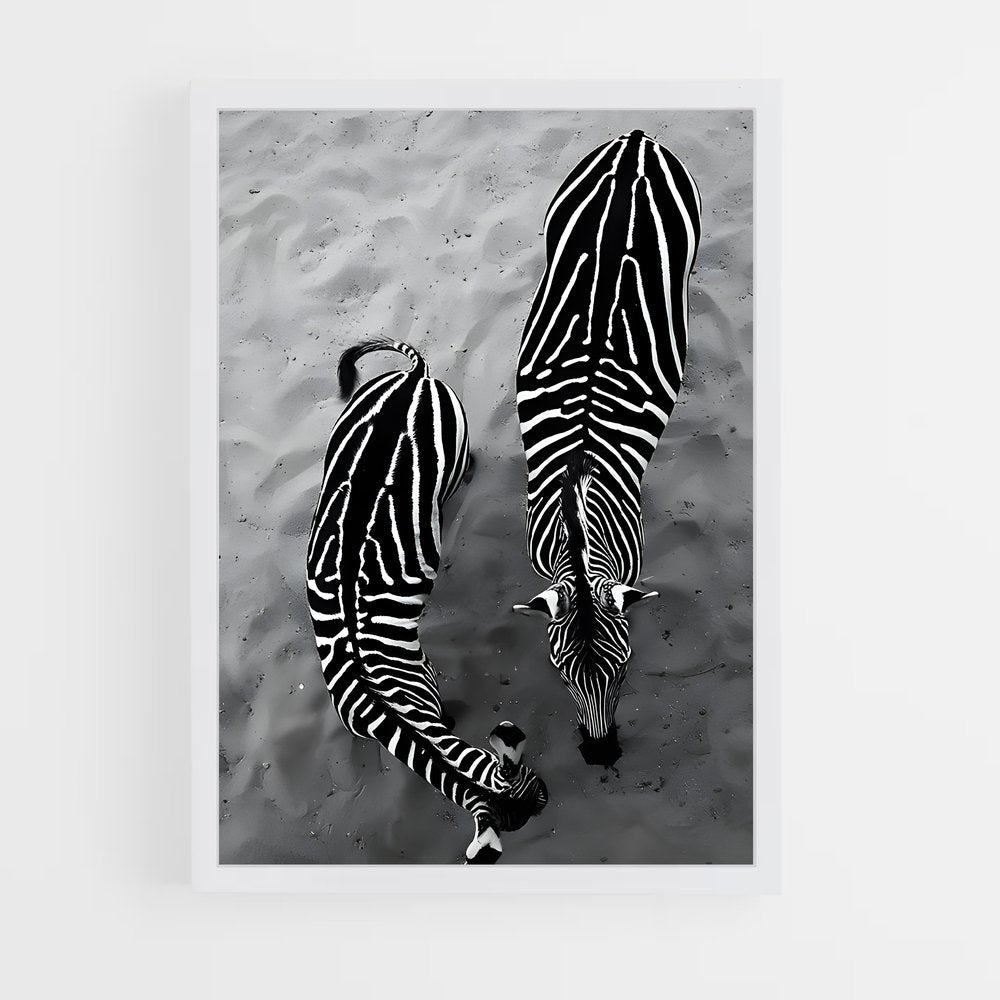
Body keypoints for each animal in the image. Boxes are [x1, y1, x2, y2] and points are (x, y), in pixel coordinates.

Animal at [307, 339, 548, 863]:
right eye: (539, 797)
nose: (550, 802)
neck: (386, 706)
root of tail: (412, 375)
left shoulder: (426, 683)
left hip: (453, 453)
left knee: (466, 466)